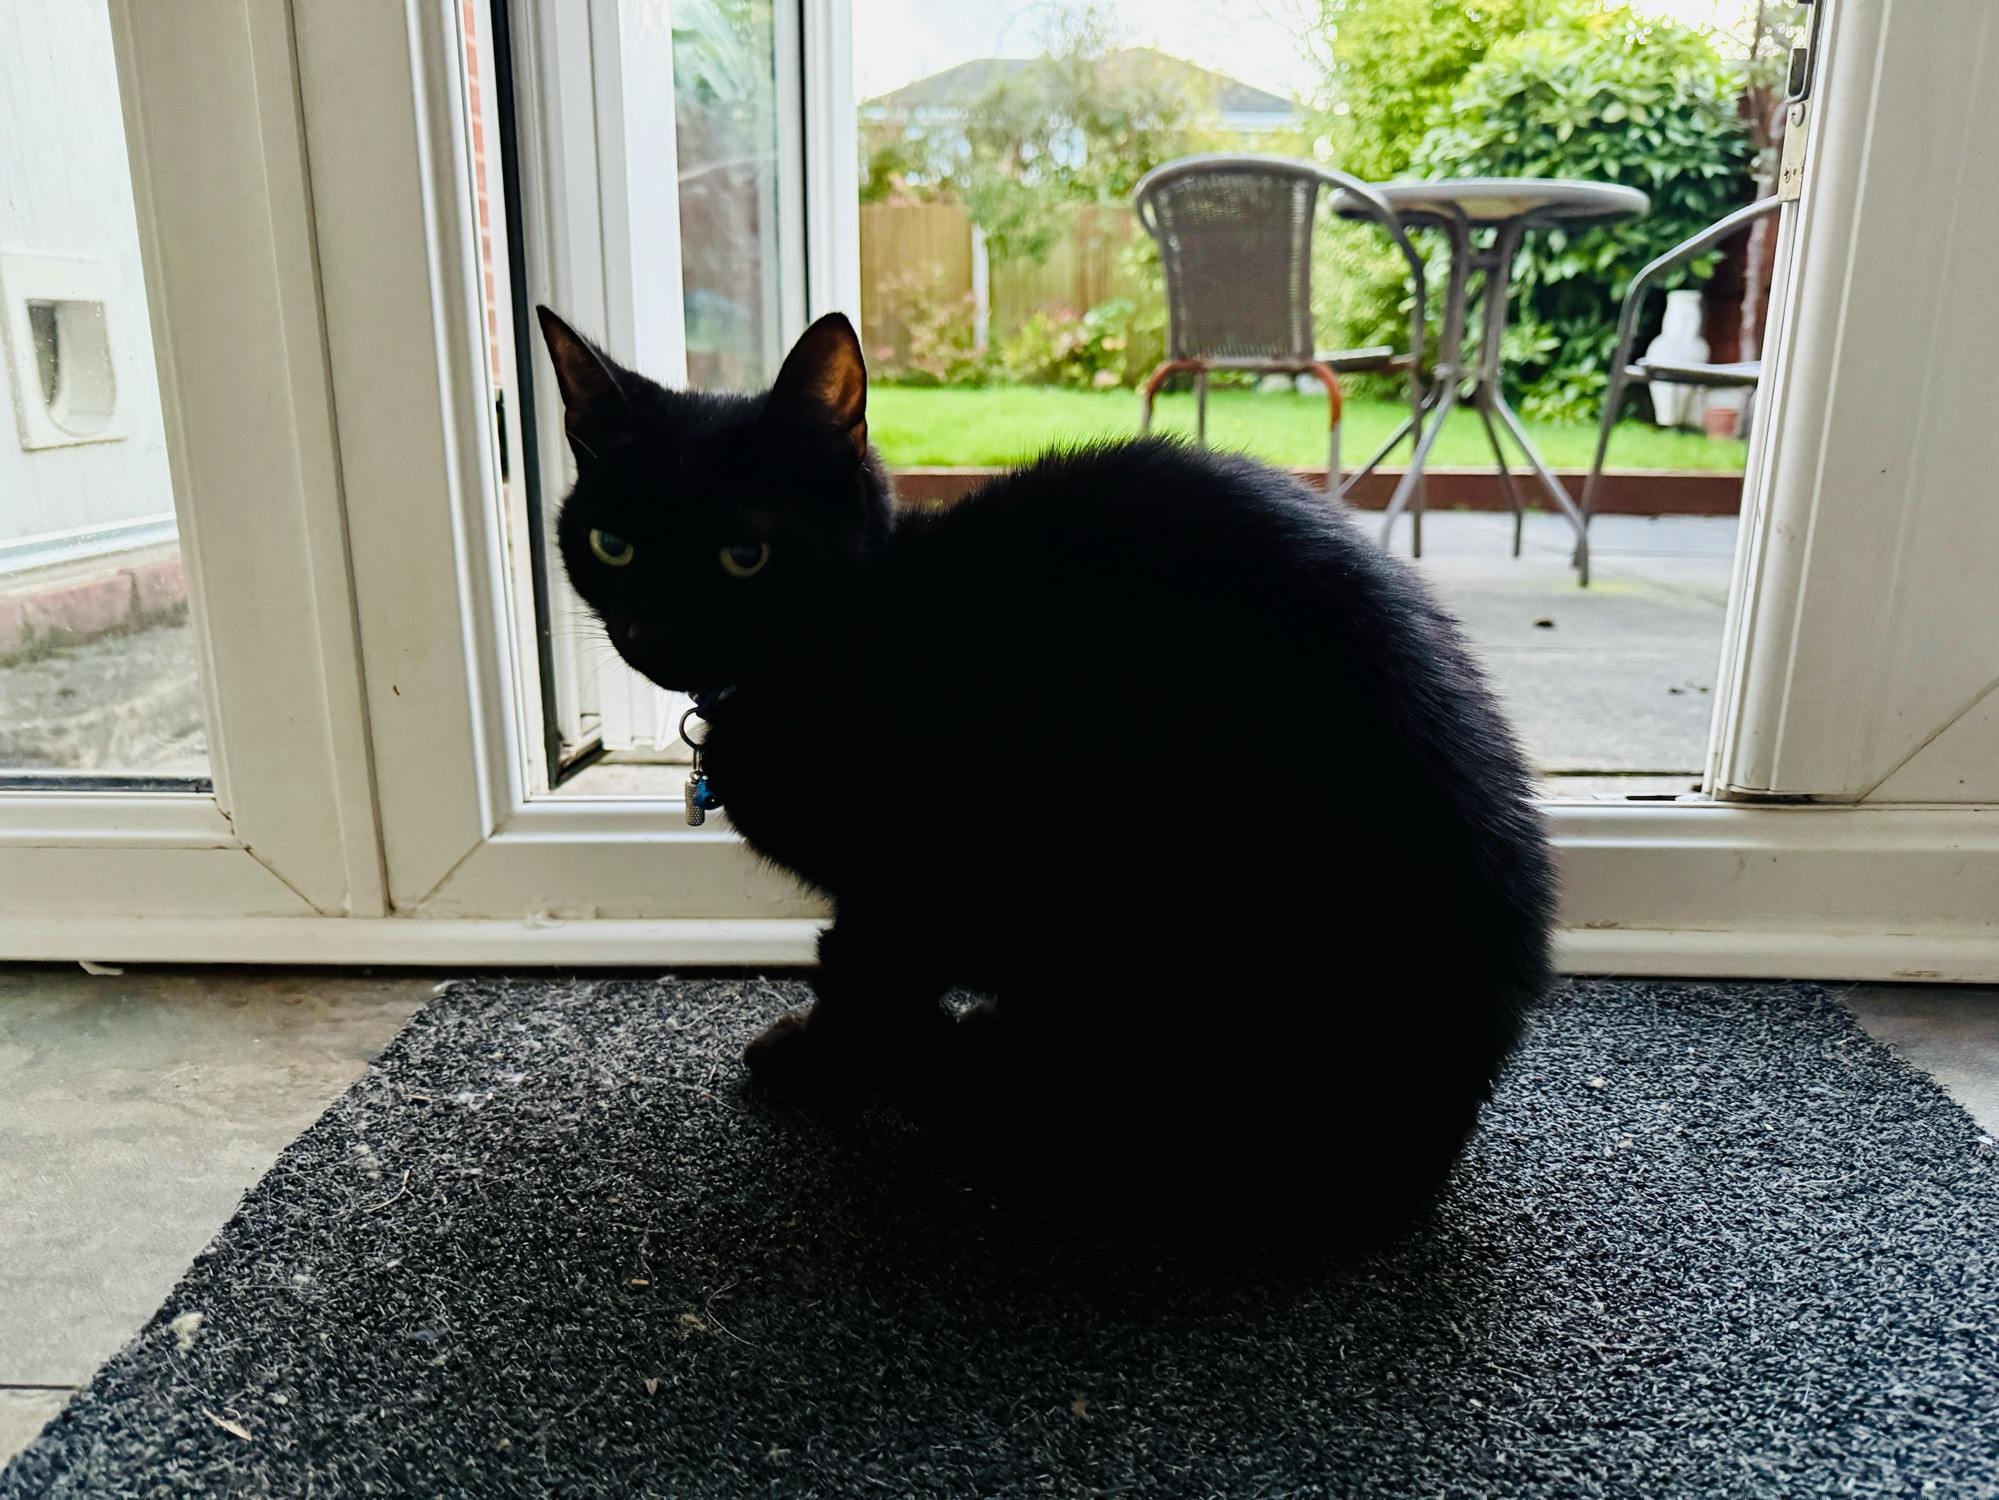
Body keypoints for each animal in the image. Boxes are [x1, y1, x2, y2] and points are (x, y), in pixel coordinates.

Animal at [539, 308, 1551, 1248]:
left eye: (743, 556)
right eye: (613, 544)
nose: (652, 634)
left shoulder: (912, 882)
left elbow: (860, 973)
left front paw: (815, 1058)